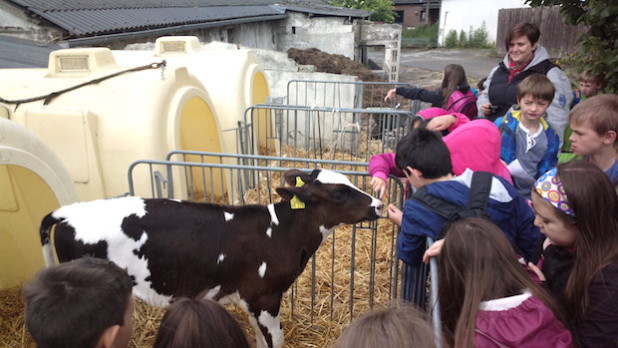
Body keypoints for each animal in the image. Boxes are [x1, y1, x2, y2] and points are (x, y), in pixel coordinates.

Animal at [39, 169, 380, 348]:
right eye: (339, 194)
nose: (377, 203)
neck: (279, 231)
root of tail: (68, 212)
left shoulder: (250, 299)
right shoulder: (265, 296)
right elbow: (275, 339)